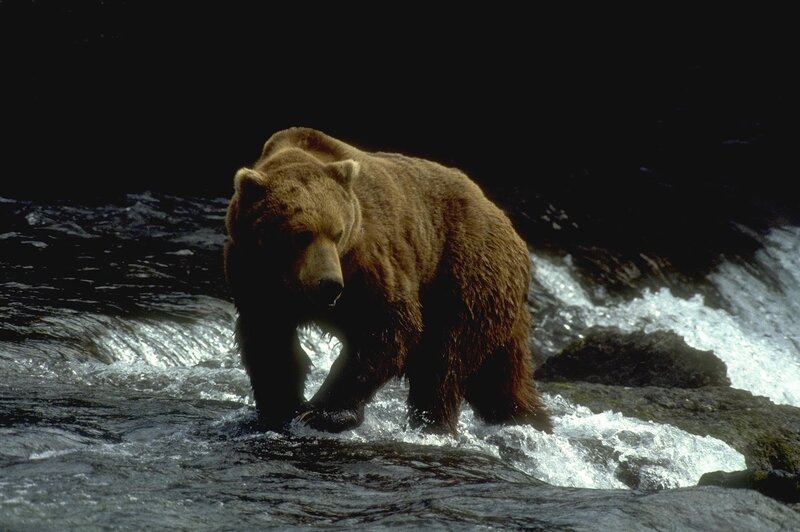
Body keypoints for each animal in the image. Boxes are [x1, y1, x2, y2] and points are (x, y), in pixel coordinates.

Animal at [224, 127, 552, 434]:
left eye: (337, 233)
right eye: (301, 235)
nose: (330, 285)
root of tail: (514, 234)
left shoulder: (367, 259)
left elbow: (388, 326)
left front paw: (323, 412)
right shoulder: (252, 271)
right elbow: (269, 338)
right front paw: (281, 407)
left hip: (464, 279)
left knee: (443, 364)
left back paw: (433, 423)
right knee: (502, 377)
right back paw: (530, 419)